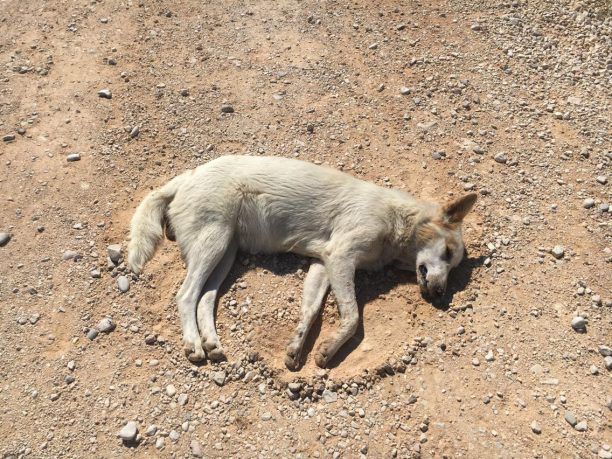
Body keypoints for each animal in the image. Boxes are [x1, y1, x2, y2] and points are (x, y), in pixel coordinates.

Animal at [126, 155, 476, 370]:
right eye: (447, 252)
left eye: (453, 265)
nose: (441, 295)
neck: (398, 219)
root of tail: (184, 179)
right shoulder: (341, 257)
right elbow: (352, 317)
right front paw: (328, 350)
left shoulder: (323, 265)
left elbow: (310, 310)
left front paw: (297, 347)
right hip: (213, 244)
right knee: (185, 296)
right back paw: (193, 344)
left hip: (225, 253)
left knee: (204, 299)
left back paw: (211, 342)